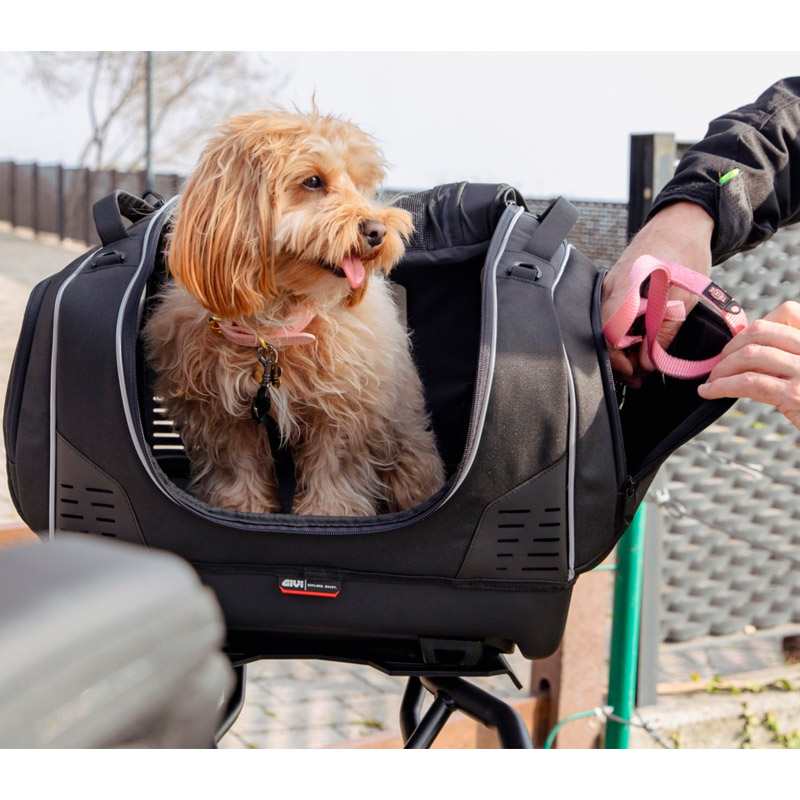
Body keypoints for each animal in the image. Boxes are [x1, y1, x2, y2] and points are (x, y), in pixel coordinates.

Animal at [142, 109, 444, 516]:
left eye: (360, 185)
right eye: (313, 181)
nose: (377, 230)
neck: (276, 330)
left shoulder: (342, 410)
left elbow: (333, 469)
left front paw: (329, 515)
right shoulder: (224, 415)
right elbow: (238, 466)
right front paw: (244, 509)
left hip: (407, 447)